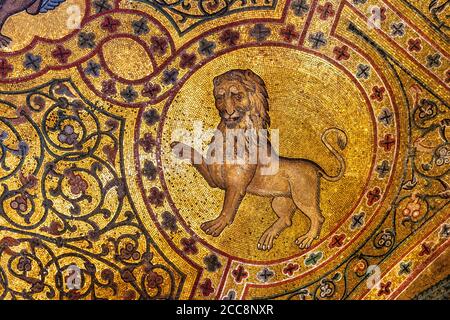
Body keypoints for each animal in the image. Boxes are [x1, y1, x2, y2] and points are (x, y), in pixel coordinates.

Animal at [172, 69, 348, 251]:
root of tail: (316, 168)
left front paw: (215, 227)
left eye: (237, 95)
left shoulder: (236, 185)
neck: (232, 133)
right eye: (219, 97)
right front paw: (179, 147)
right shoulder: (215, 179)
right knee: (287, 219)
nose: (228, 112)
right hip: (280, 200)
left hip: (303, 196)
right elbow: (198, 158)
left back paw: (305, 239)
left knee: (317, 217)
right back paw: (267, 238)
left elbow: (228, 207)